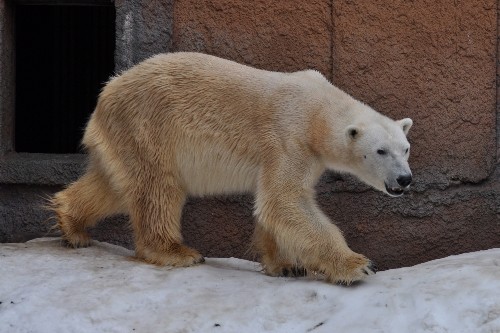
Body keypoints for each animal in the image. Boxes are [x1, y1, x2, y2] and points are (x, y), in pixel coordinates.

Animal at [49, 52, 414, 282]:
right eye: (380, 151)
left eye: (406, 148)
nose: (405, 179)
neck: (317, 110)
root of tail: (106, 93)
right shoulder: (289, 136)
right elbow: (284, 200)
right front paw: (358, 265)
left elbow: (275, 205)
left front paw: (285, 265)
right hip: (148, 127)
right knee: (158, 188)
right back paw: (177, 252)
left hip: (125, 136)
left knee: (112, 185)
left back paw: (72, 225)